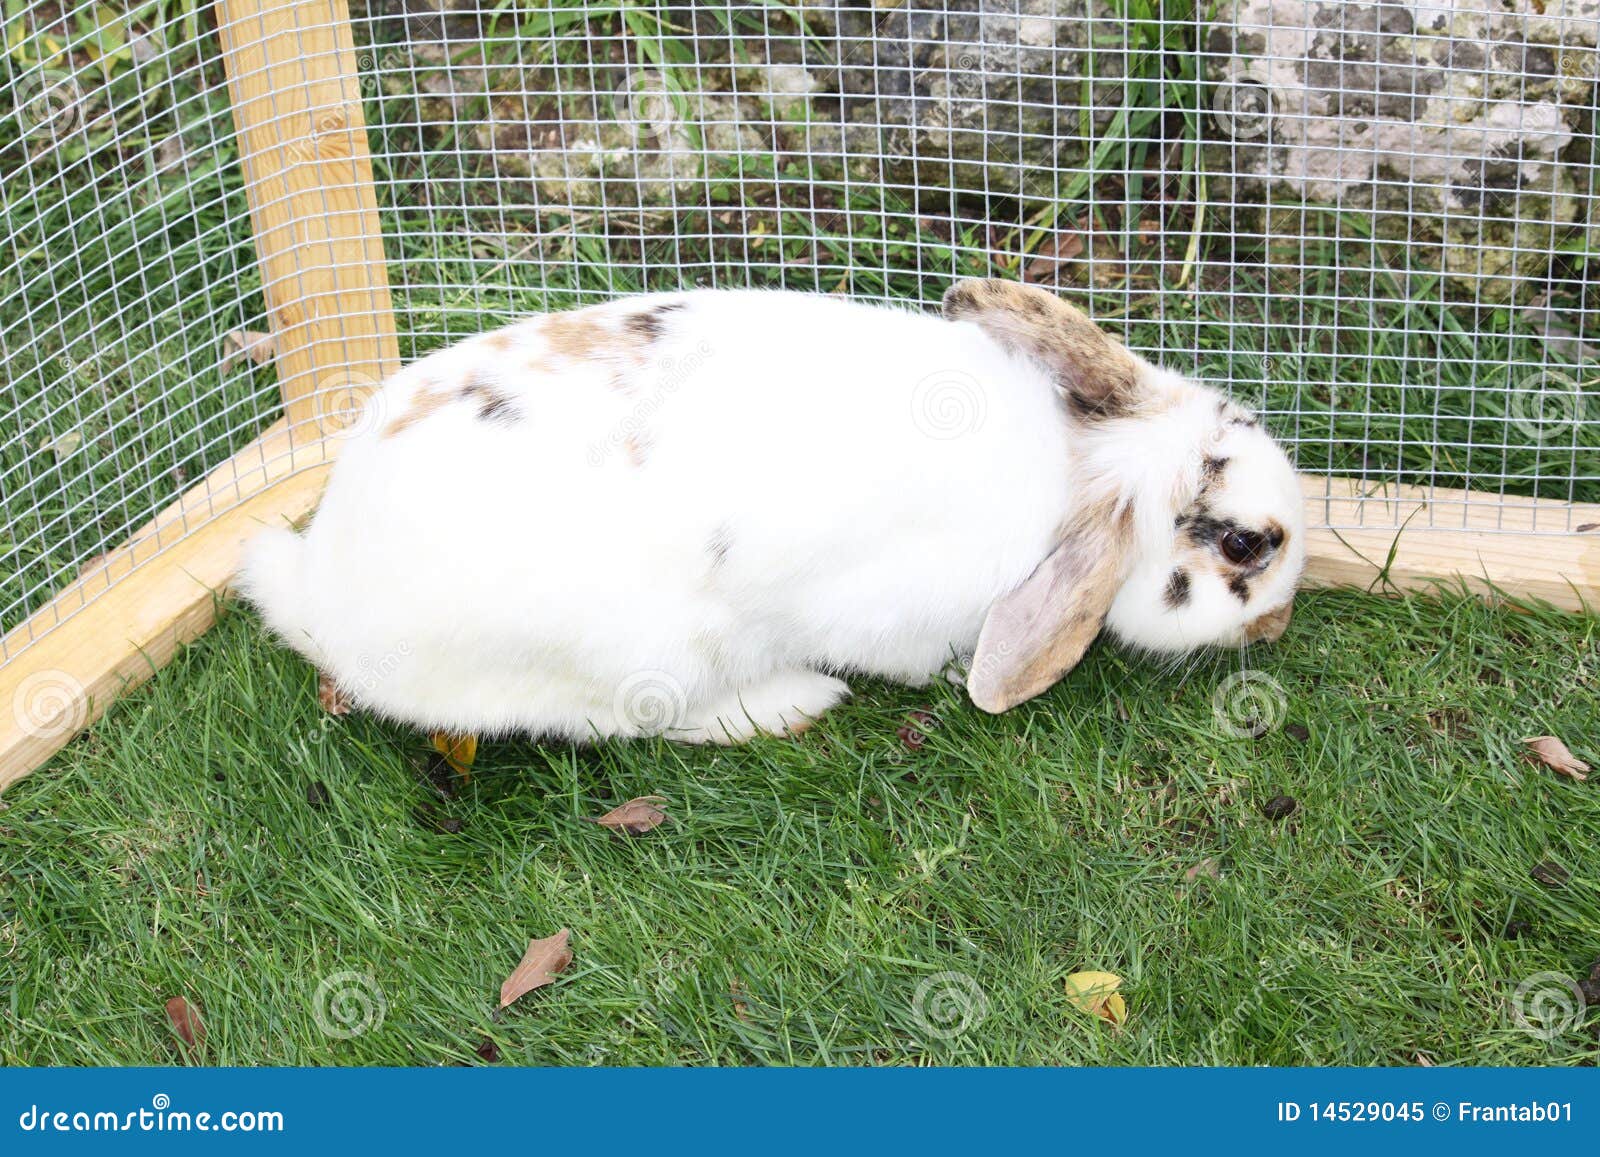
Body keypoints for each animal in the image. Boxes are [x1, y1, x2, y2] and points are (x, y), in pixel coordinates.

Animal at [238, 279, 1305, 744]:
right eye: (1245, 545)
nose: (1283, 623)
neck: (1076, 475)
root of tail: (326, 592)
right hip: (642, 659)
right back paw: (796, 700)